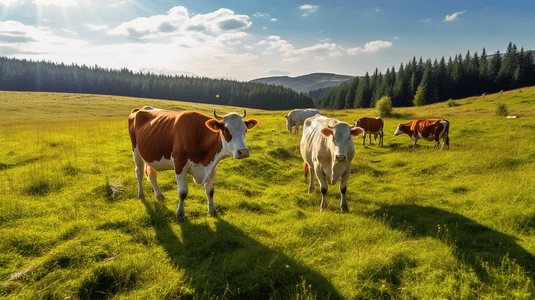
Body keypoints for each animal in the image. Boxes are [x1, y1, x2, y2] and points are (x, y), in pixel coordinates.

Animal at [127, 106, 258, 221]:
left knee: (152, 174)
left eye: (245, 130)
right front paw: (180, 214)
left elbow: (210, 190)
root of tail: (140, 109)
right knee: (139, 173)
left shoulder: (213, 166)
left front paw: (213, 211)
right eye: (226, 130)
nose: (244, 151)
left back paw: (159, 195)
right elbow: (182, 192)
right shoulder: (179, 164)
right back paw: (141, 195)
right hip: (136, 150)